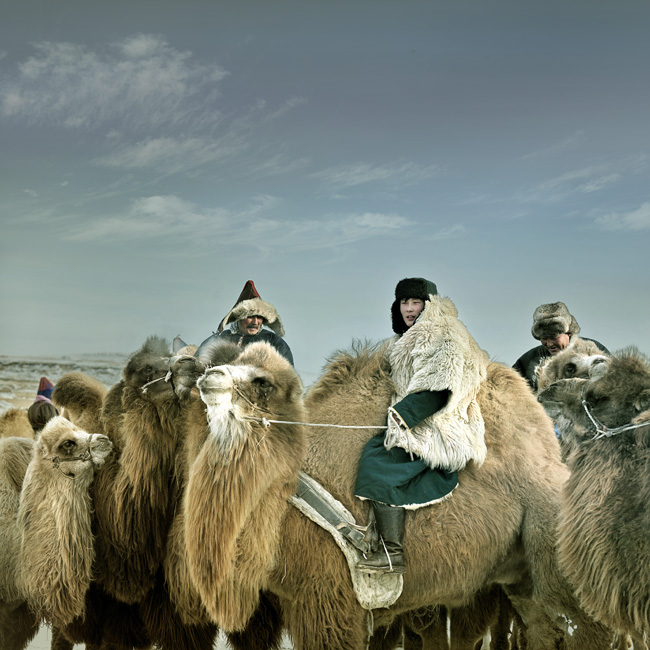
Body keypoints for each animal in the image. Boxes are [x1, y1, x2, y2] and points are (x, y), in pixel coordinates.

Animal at [180, 340, 612, 648]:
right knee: (544, 627)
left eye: (261, 381)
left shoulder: (327, 598)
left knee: (585, 625)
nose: (209, 377)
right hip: (520, 574)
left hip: (552, 536)